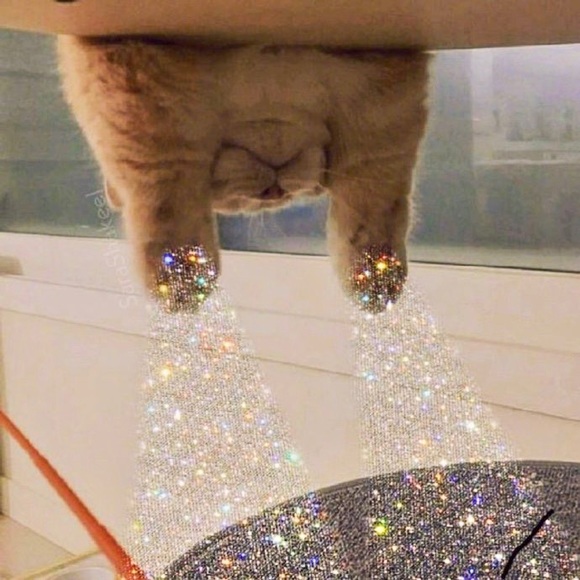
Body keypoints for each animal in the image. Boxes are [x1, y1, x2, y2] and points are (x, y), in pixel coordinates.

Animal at [57, 37, 430, 304]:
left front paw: (377, 273)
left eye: (282, 197)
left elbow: (375, 191)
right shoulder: (139, 81)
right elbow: (164, 183)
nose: (273, 193)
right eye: (239, 201)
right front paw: (182, 275)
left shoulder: (382, 99)